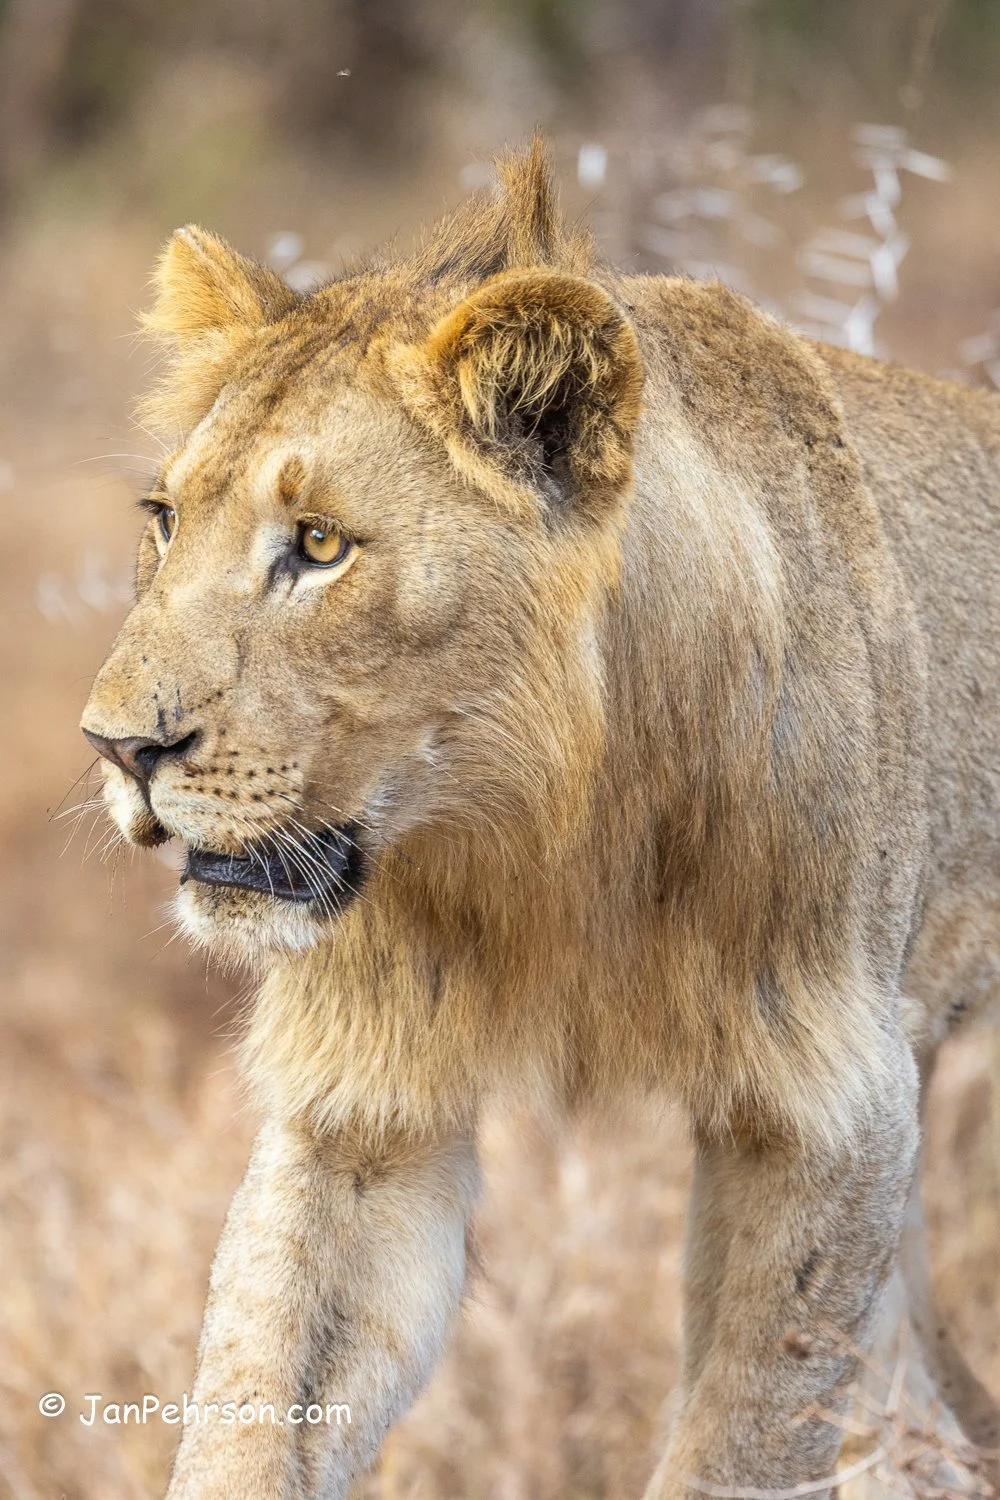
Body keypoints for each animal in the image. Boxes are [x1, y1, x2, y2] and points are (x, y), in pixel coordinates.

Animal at [80, 141, 999, 1498]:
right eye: (162, 521)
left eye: (318, 543)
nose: (118, 749)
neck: (549, 831)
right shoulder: (362, 1105)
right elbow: (253, 1403)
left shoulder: (831, 1107)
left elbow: (742, 1437)